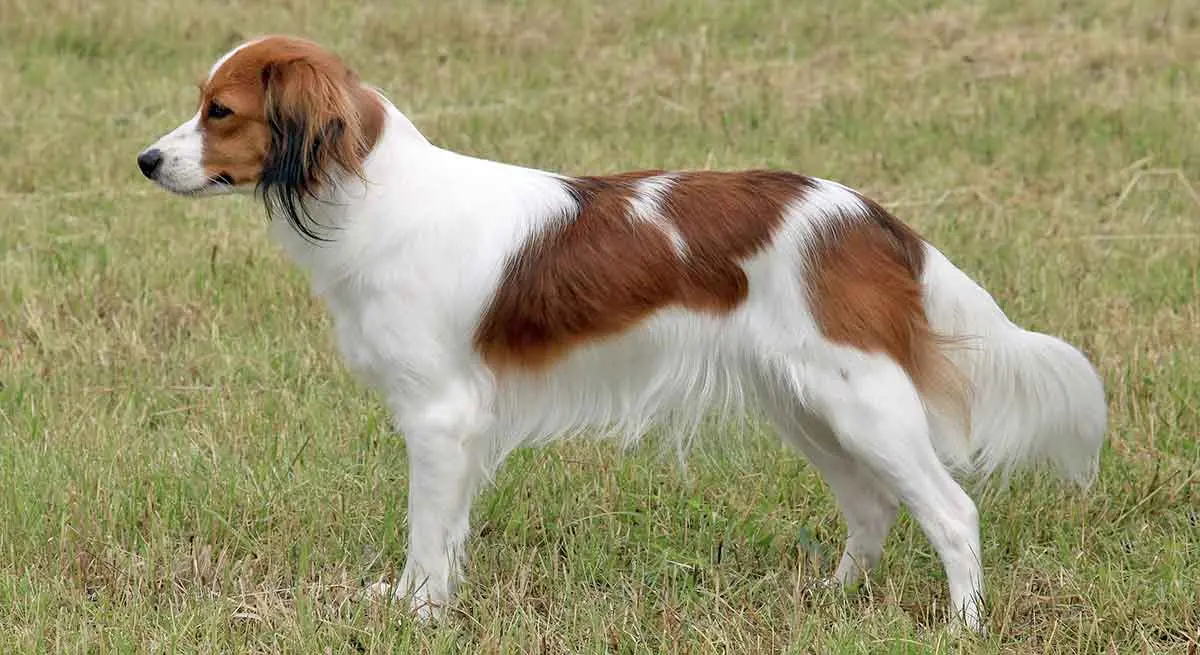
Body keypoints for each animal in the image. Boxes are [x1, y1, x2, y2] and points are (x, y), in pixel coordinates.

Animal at [138, 33, 1104, 628]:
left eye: (220, 111)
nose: (146, 159)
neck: (377, 195)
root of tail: (866, 215)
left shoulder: (441, 417)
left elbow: (425, 531)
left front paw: (417, 612)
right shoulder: (457, 427)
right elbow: (443, 535)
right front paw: (419, 602)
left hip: (860, 401)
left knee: (952, 510)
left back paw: (961, 624)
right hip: (807, 404)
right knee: (871, 506)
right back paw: (829, 600)